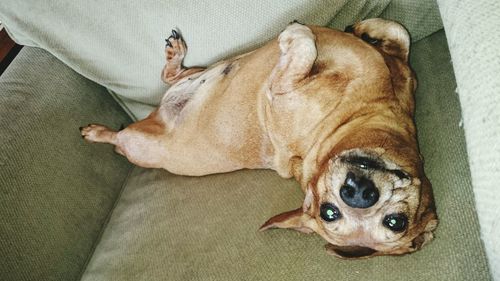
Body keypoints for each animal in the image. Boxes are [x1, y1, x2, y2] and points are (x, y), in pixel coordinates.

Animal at [81, 18, 438, 258]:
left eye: (394, 222)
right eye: (329, 212)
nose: (359, 194)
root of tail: (152, 117)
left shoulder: (281, 87)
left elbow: (309, 45)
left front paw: (301, 34)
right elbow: (397, 32)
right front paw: (361, 28)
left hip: (138, 145)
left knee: (123, 133)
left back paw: (98, 132)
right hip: (196, 73)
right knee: (170, 76)